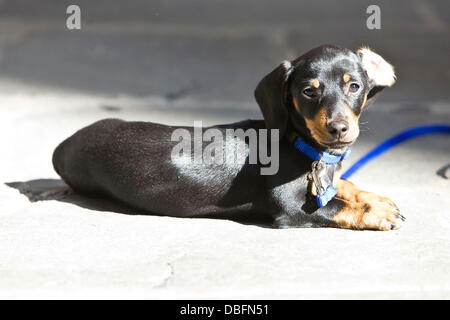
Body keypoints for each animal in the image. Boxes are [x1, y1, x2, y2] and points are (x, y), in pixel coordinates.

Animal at [52, 44, 404, 230]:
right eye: (308, 91)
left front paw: (372, 197)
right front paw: (374, 211)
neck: (298, 142)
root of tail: (64, 145)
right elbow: (335, 206)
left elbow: (341, 185)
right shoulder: (291, 207)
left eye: (354, 86)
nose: (338, 128)